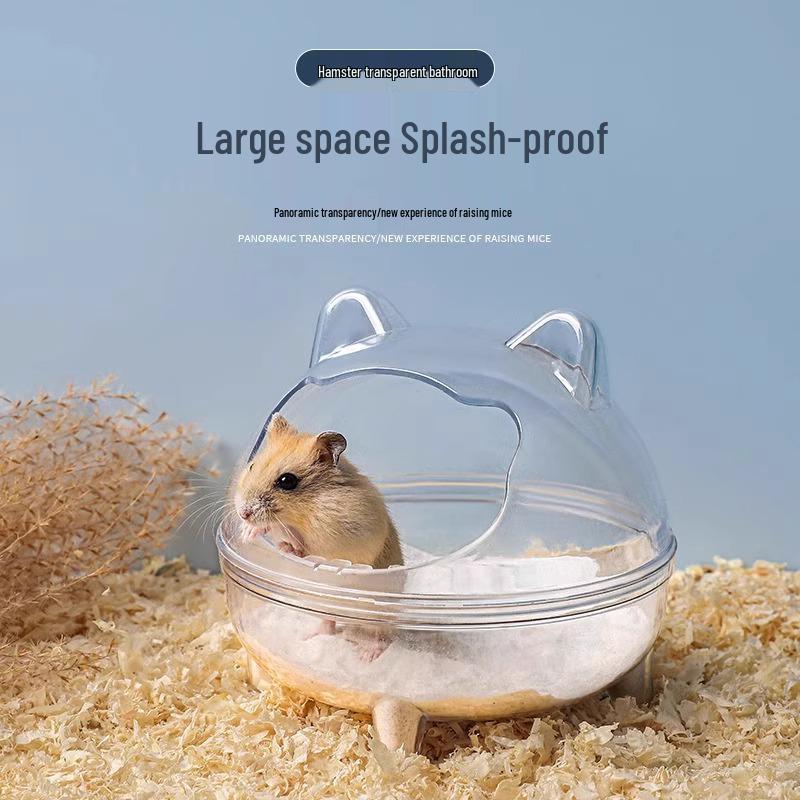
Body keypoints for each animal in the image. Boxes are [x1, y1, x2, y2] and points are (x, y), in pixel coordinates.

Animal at [233, 414, 403, 570]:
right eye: (252, 466)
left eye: (287, 481)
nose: (243, 514)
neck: (308, 506)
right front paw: (246, 533)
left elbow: (291, 535)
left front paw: (284, 545)